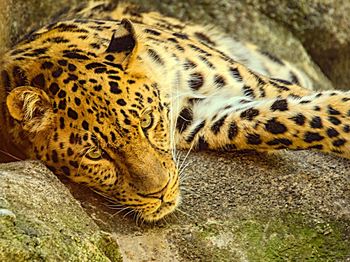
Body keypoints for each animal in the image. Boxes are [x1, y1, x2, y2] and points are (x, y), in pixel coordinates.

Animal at [0, 0, 350, 222]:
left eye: (146, 121)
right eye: (94, 154)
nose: (160, 193)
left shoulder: (256, 84)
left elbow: (305, 108)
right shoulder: (203, 119)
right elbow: (275, 121)